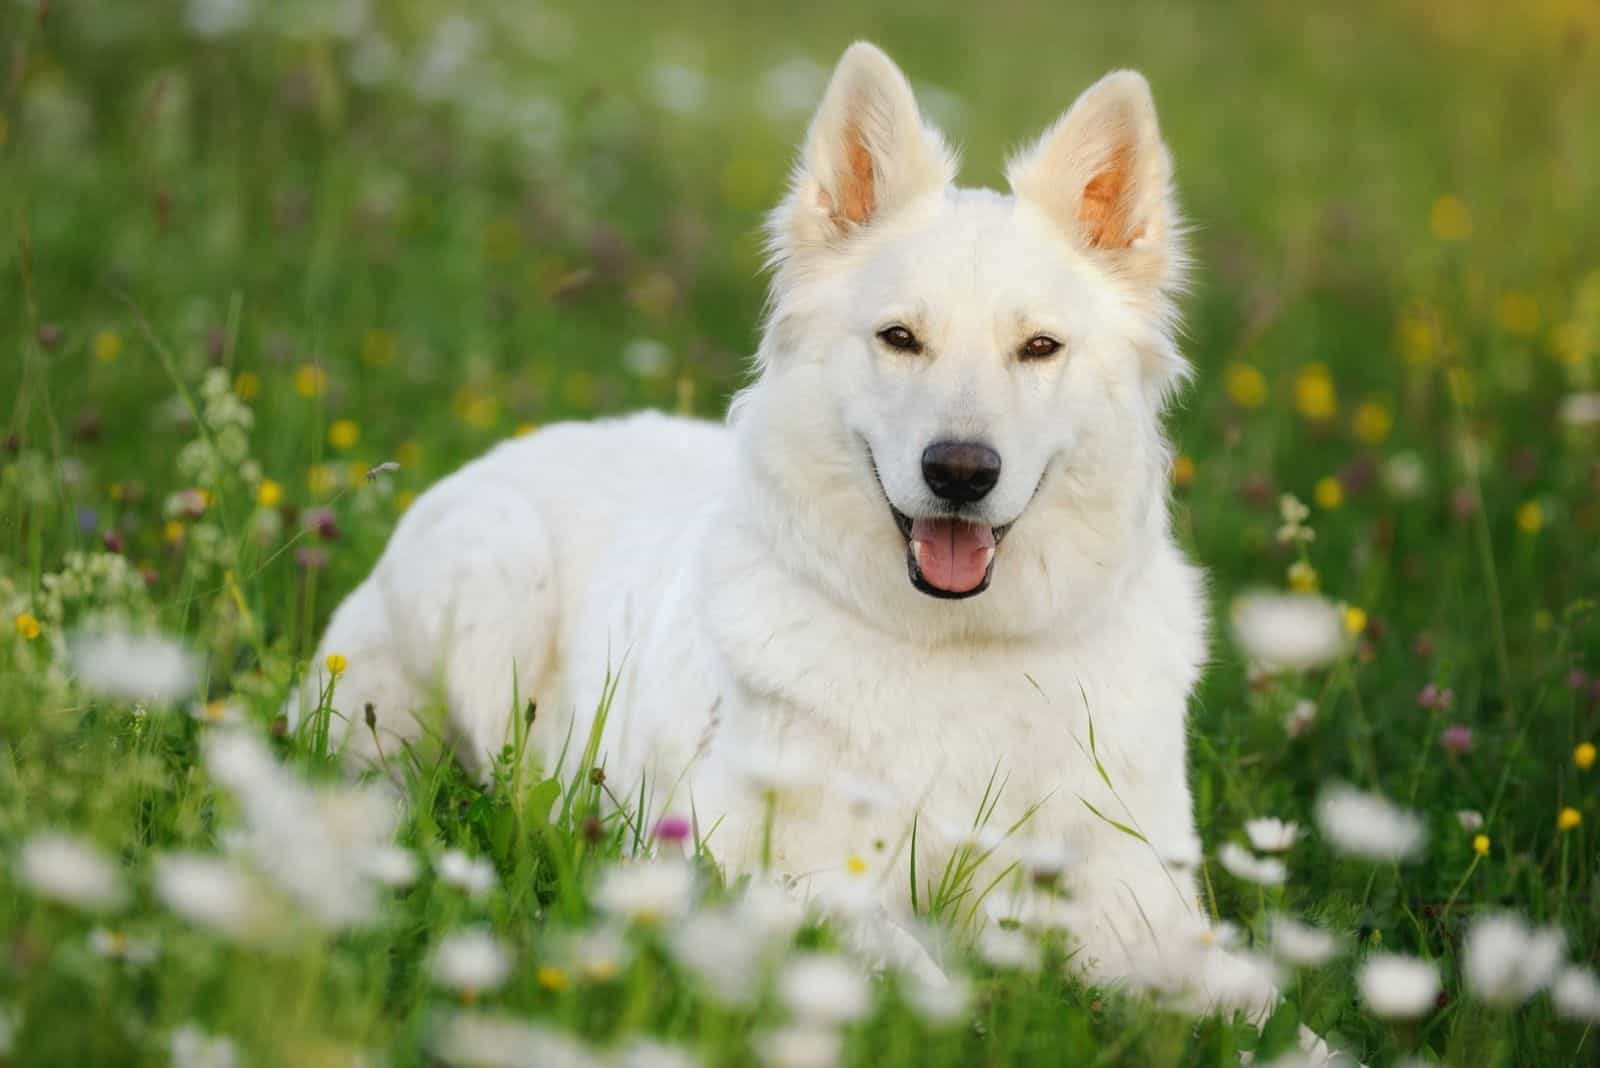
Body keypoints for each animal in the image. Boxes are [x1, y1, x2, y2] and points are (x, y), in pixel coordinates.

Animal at [294, 43, 1280, 1016]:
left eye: (1039, 348)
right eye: (899, 338)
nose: (961, 473)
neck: (956, 647)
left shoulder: (1135, 896)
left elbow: (1261, 1000)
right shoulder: (763, 866)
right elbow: (920, 981)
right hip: (491, 570)